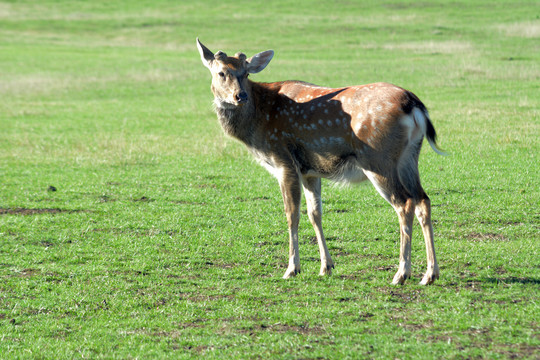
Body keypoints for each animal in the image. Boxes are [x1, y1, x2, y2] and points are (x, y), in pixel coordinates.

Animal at [197, 37, 442, 284]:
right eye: (221, 72)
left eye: (246, 73)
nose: (240, 96)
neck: (258, 121)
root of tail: (414, 104)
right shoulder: (310, 170)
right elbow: (315, 214)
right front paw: (326, 266)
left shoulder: (284, 160)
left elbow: (292, 214)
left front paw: (292, 268)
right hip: (409, 158)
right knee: (423, 199)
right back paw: (430, 274)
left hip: (378, 159)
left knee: (405, 203)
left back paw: (401, 273)